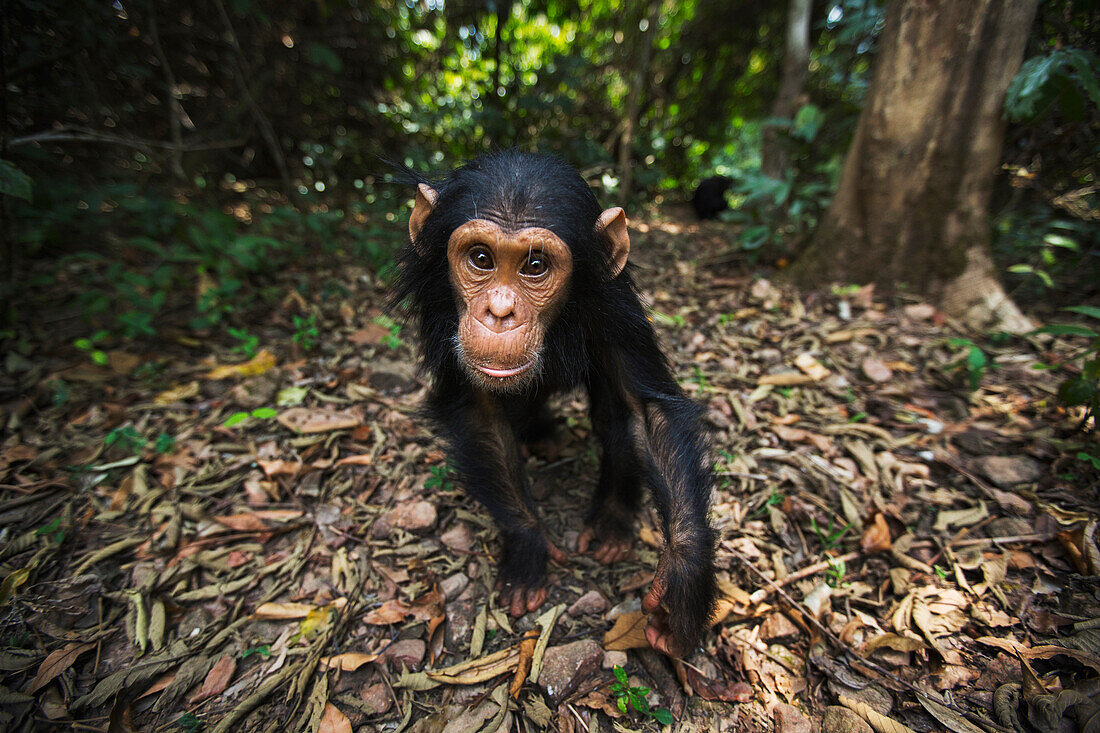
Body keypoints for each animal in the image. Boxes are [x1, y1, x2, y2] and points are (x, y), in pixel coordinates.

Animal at [391, 148, 717, 651]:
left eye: (535, 266)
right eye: (480, 258)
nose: (499, 310)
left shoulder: (615, 306)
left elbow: (646, 412)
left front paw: (683, 577)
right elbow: (482, 415)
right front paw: (528, 548)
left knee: (613, 414)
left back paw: (612, 524)